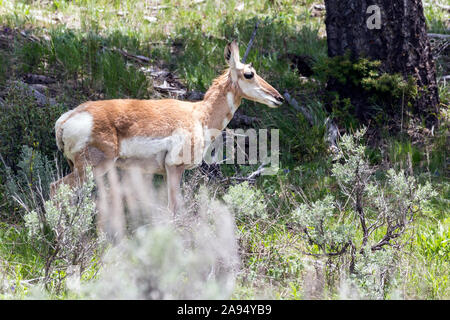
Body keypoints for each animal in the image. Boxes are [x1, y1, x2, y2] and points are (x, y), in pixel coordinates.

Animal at [51, 42, 284, 212]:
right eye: (249, 74)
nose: (279, 98)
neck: (200, 114)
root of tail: (66, 119)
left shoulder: (164, 172)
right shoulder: (175, 167)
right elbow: (173, 208)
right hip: (93, 167)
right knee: (56, 189)